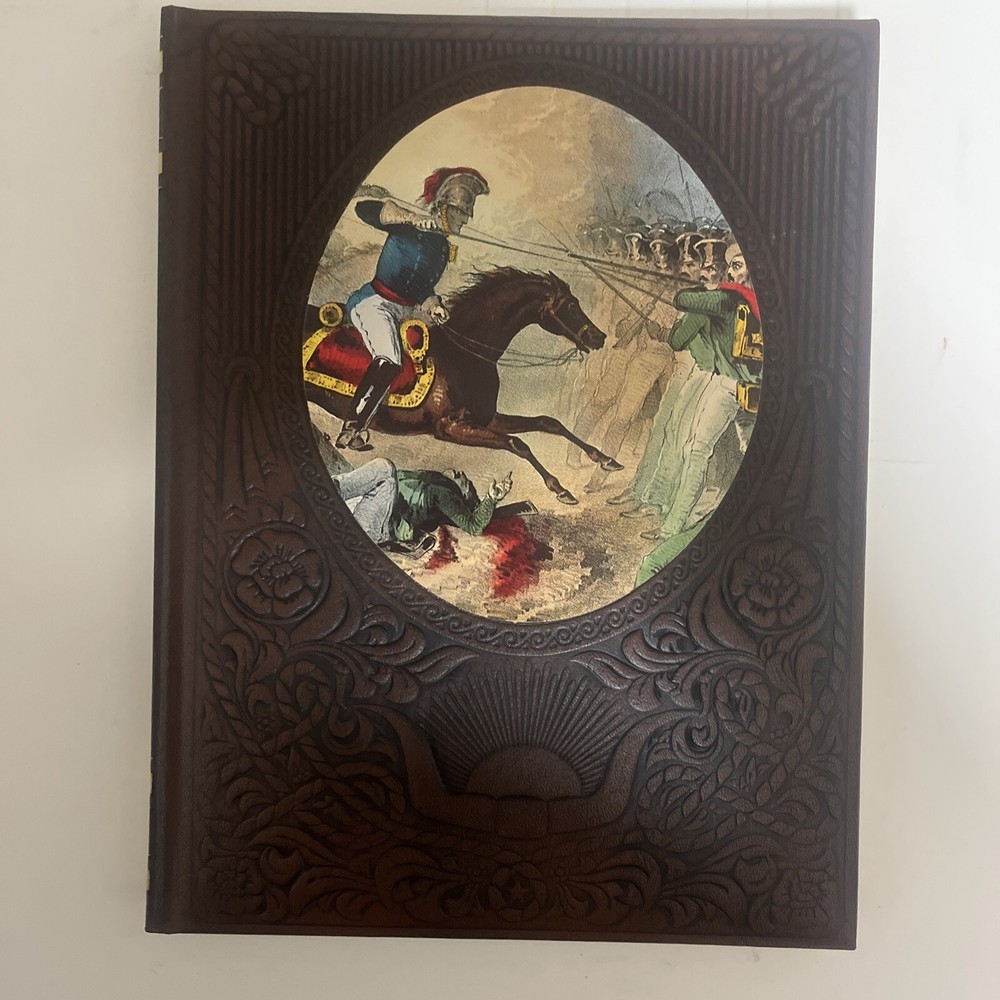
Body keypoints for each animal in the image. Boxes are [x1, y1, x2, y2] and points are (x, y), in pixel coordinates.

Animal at [304, 267, 624, 505]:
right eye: (571, 306)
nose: (599, 337)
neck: (464, 354)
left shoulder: (487, 419)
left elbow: (549, 422)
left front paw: (606, 459)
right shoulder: (451, 427)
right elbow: (517, 444)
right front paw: (560, 489)